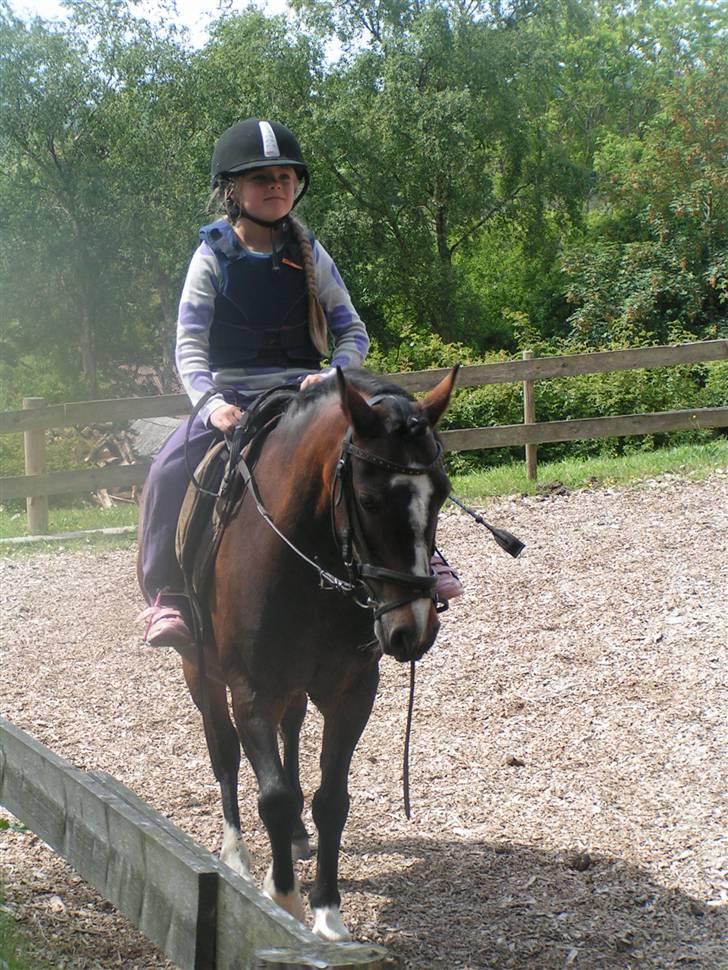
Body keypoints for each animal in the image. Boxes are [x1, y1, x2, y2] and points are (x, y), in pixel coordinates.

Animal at [150, 366, 457, 942]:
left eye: (442, 494)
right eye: (369, 499)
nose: (413, 629)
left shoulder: (352, 692)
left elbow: (330, 799)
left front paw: (328, 913)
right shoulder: (249, 691)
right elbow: (271, 793)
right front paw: (284, 900)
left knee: (289, 733)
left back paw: (293, 838)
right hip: (200, 672)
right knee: (225, 754)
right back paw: (238, 858)